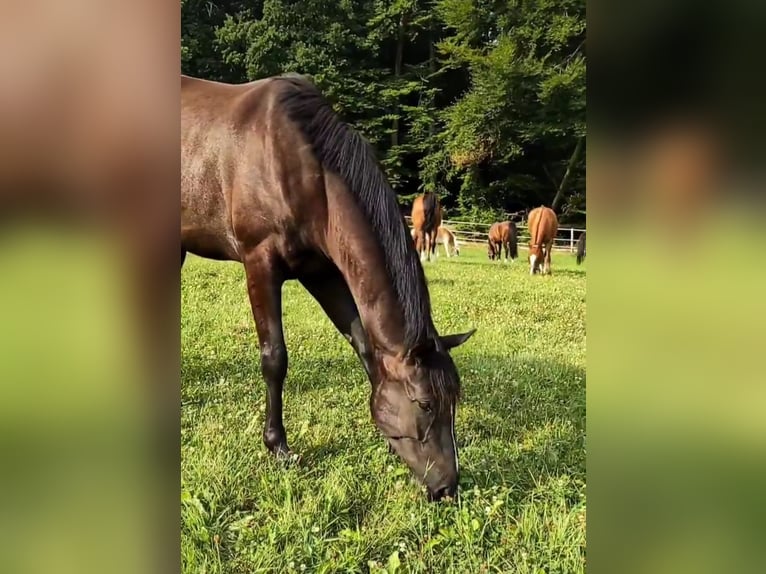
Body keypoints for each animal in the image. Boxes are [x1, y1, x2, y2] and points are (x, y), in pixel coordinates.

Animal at [183, 74, 476, 502]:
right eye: (424, 404)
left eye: (453, 400)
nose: (446, 487)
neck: (301, 168)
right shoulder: (260, 263)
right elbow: (275, 357)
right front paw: (278, 445)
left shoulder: (320, 272)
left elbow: (363, 344)